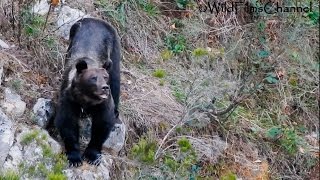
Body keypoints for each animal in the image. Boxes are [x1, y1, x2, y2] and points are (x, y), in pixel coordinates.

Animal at [55, 17, 120, 167]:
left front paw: (92, 155)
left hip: (114, 47)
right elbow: (67, 122)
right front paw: (74, 157)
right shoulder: (69, 98)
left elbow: (103, 123)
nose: (104, 87)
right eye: (93, 78)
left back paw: (116, 111)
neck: (86, 98)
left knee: (116, 79)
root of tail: (96, 19)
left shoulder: (103, 103)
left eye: (104, 77)